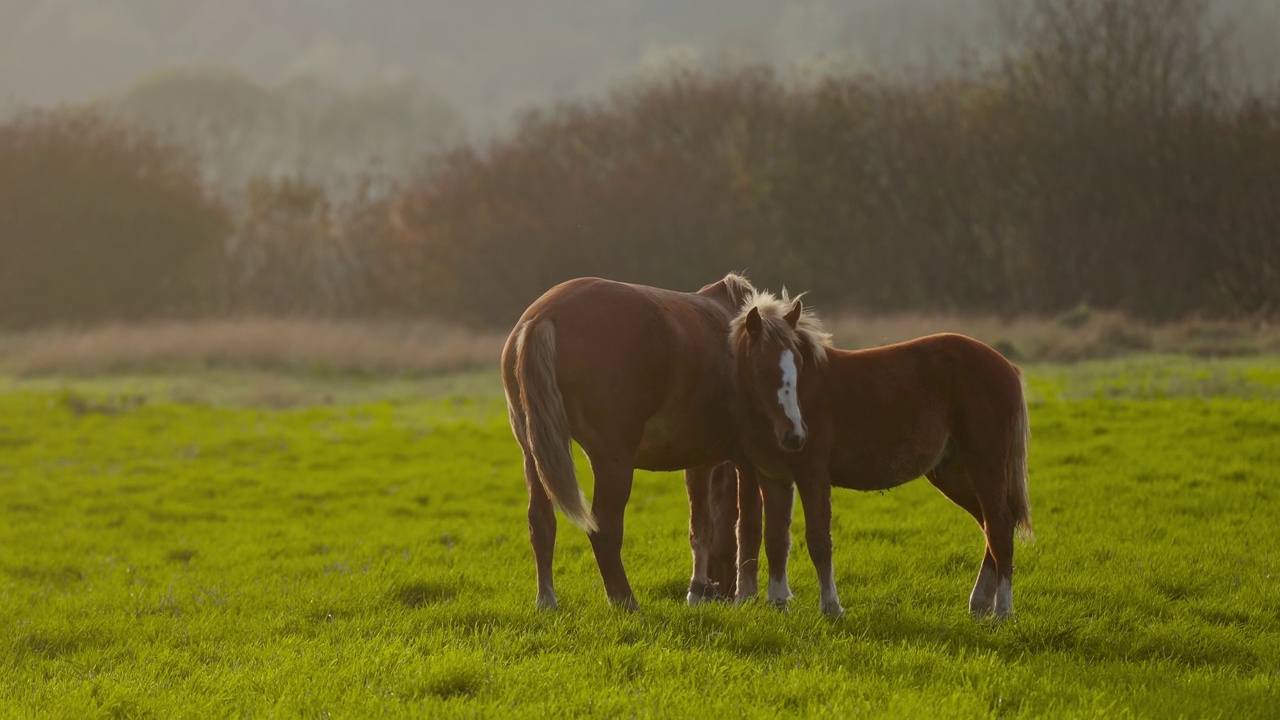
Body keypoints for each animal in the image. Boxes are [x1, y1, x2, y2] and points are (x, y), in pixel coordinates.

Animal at [501, 271, 757, 607]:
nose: (721, 590)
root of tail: (543, 315)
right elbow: (735, 522)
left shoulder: (699, 459)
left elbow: (701, 524)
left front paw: (697, 589)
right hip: (613, 462)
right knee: (604, 531)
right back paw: (626, 602)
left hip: (534, 455)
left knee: (541, 523)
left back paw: (547, 600)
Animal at [727, 289, 1034, 617]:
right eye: (761, 369)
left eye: (798, 365)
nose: (795, 434)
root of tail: (1008, 367)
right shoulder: (773, 478)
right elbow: (775, 540)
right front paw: (777, 604)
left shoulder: (813, 475)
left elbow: (819, 540)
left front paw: (831, 607)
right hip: (954, 474)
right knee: (992, 525)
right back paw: (980, 604)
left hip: (985, 466)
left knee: (999, 527)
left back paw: (1003, 611)